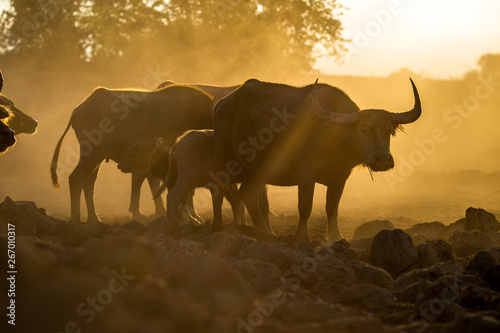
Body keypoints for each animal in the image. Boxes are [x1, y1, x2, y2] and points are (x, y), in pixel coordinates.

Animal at [50, 84, 213, 222]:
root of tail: (80, 108)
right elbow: (149, 181)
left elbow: (149, 180)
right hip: (93, 155)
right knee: (77, 179)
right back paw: (75, 218)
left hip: (95, 156)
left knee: (89, 183)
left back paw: (94, 219)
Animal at [215, 79, 422, 243]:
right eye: (363, 130)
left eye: (389, 130)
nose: (383, 160)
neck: (333, 136)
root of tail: (221, 104)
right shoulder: (306, 175)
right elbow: (305, 207)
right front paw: (301, 238)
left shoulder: (340, 178)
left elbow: (332, 208)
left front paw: (336, 237)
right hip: (224, 163)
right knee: (222, 192)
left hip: (257, 171)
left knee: (248, 194)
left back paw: (266, 233)